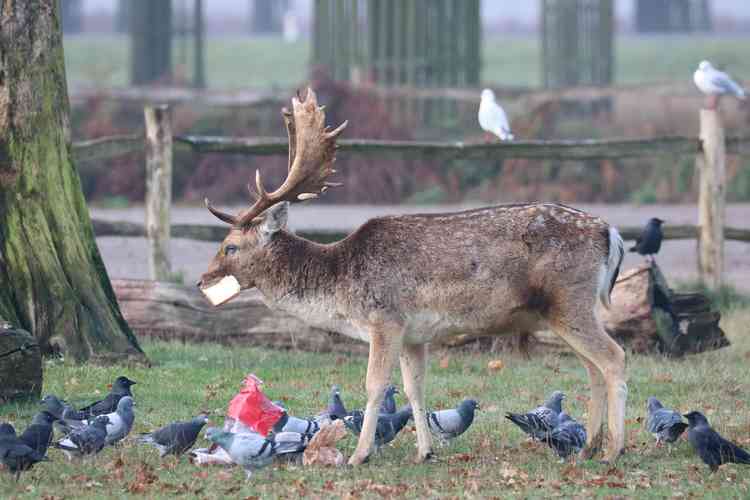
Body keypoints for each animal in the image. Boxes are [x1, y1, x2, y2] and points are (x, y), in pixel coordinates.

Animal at [198, 89, 628, 464]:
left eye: (231, 246)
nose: (202, 280)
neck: (340, 288)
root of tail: (611, 232)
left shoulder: (385, 319)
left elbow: (374, 385)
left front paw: (358, 455)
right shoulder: (413, 334)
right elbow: (415, 388)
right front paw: (425, 452)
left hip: (569, 301)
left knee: (614, 358)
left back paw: (613, 451)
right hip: (565, 311)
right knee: (593, 367)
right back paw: (589, 448)